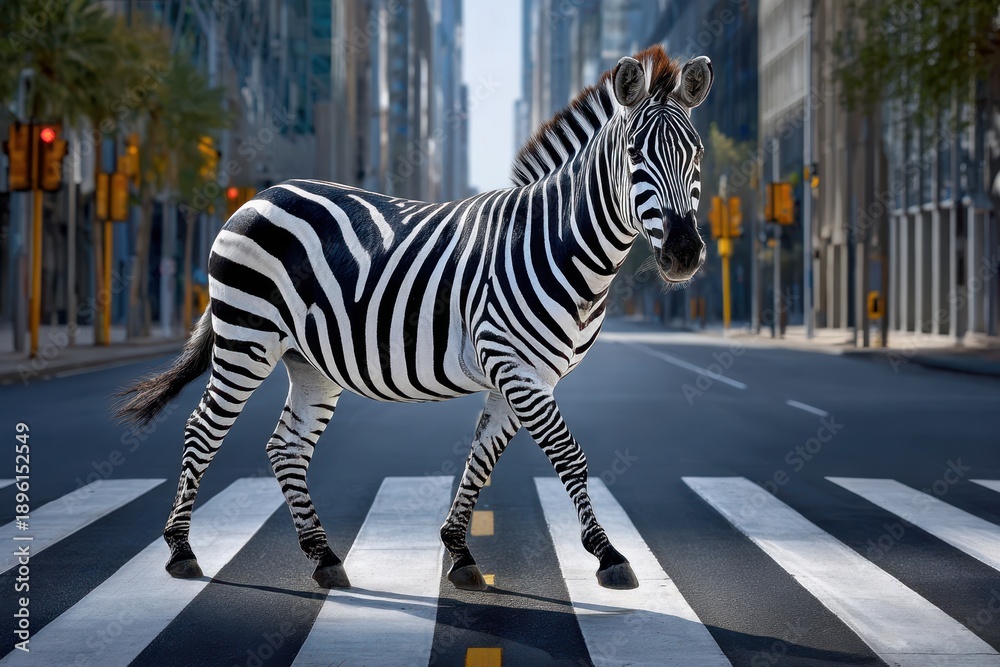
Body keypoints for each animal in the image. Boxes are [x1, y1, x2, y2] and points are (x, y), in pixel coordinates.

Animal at [116, 45, 712, 592]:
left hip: (308, 361)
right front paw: (608, 554)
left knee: (286, 447)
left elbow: (481, 456)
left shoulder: (526, 375)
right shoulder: (514, 366)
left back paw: (324, 556)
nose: (684, 253)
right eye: (634, 154)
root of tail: (259, 195)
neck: (559, 245)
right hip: (246, 338)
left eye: (697, 152)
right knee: (202, 429)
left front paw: (460, 552)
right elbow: (569, 456)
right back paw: (181, 550)